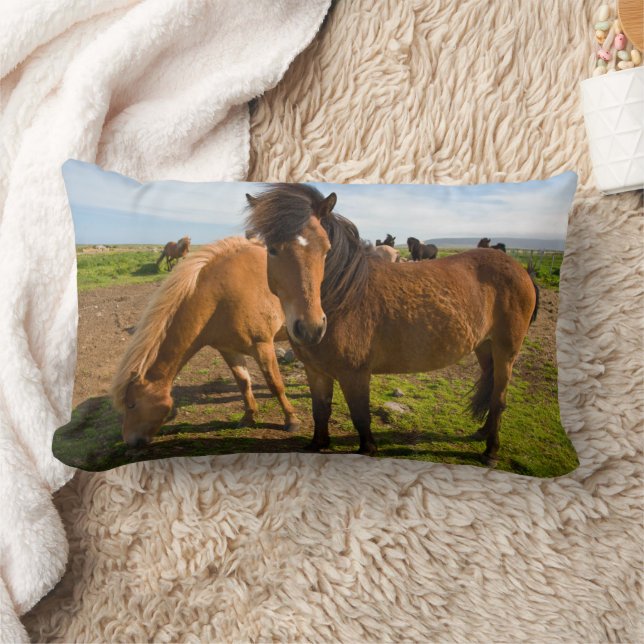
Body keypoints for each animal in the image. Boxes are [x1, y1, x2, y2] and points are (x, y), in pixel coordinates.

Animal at [112, 237, 300, 448]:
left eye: (132, 404)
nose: (129, 440)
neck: (221, 296)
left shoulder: (263, 346)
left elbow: (275, 384)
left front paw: (291, 420)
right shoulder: (229, 350)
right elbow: (243, 383)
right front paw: (248, 417)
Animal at [245, 184, 539, 466]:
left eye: (326, 250)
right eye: (272, 249)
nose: (311, 328)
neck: (345, 297)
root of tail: (520, 269)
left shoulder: (355, 375)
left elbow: (361, 417)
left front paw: (367, 450)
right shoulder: (316, 371)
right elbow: (321, 410)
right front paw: (318, 444)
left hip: (506, 351)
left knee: (499, 399)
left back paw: (491, 451)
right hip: (484, 347)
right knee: (491, 388)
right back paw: (481, 433)